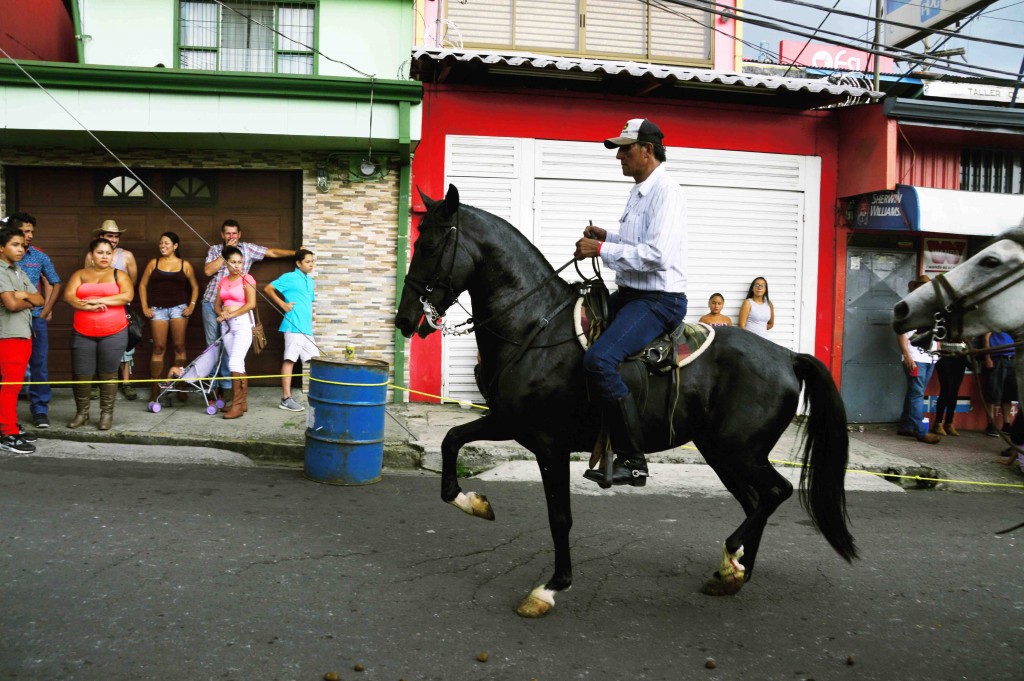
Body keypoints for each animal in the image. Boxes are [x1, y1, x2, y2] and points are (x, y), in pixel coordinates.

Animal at [391, 184, 856, 614]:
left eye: (428, 246)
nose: (405, 319)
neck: (534, 326)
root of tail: (788, 356)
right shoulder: (509, 422)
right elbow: (451, 440)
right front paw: (473, 502)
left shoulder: (549, 443)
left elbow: (559, 516)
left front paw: (552, 587)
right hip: (722, 452)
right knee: (756, 500)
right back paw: (734, 572)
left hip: (740, 451)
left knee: (776, 492)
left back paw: (732, 558)